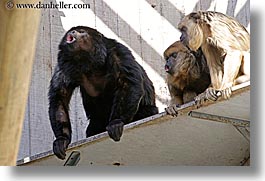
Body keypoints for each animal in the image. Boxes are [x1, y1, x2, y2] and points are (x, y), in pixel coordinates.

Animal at [48, 26, 158, 159]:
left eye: (82, 31)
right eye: (71, 31)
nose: (72, 32)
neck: (85, 60)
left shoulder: (118, 51)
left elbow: (129, 83)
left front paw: (116, 122)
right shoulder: (63, 64)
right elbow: (59, 97)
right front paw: (62, 139)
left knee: (149, 110)